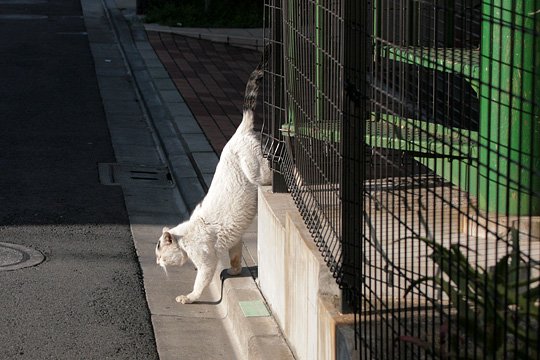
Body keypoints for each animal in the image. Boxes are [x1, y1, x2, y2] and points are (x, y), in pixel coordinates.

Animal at [156, 47, 274, 304]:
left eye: (159, 252)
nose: (157, 263)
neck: (185, 237)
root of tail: (240, 129)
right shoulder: (236, 240)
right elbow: (236, 256)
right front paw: (235, 271)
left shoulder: (206, 262)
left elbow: (200, 283)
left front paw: (189, 297)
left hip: (256, 171)